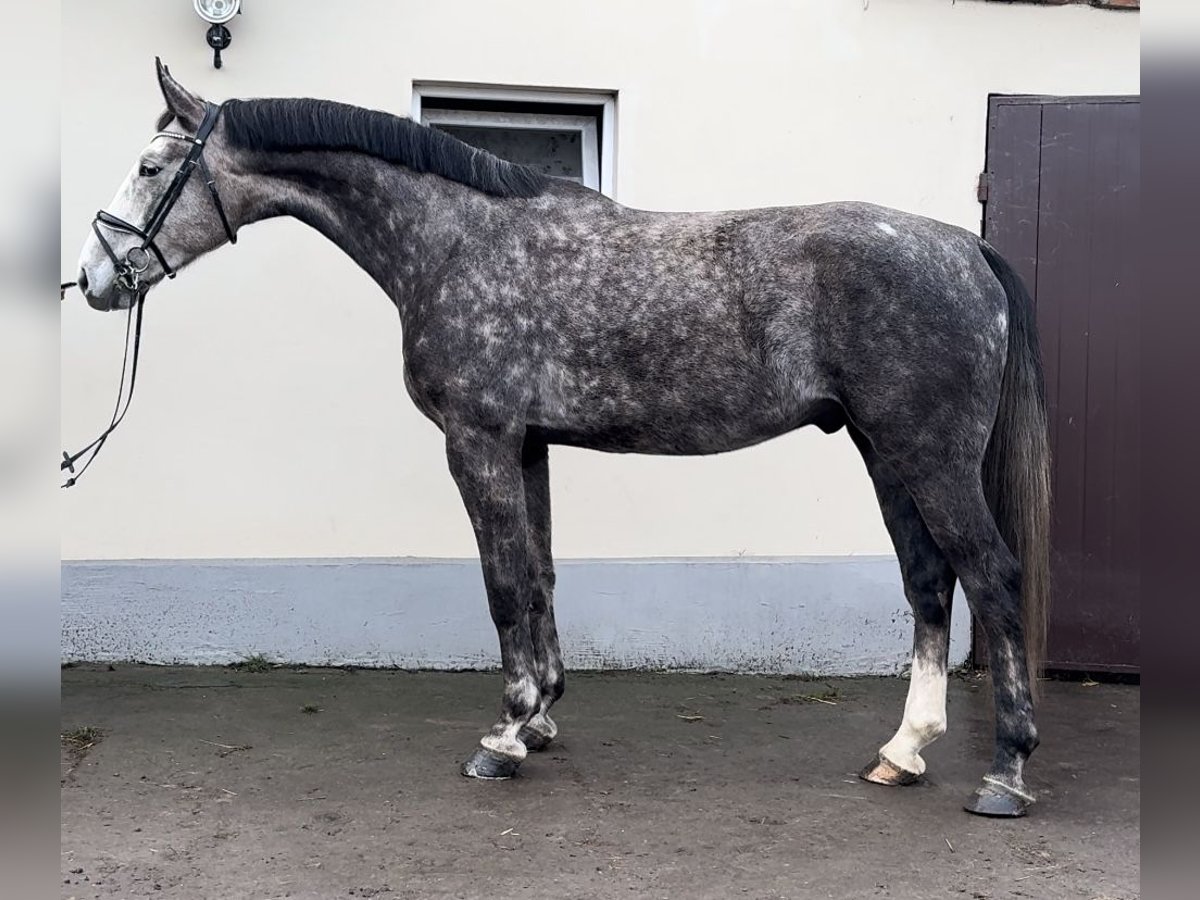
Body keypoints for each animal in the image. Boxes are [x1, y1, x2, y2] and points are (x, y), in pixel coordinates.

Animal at [77, 66, 1051, 820]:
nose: (93, 278)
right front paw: (542, 716)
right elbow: (540, 574)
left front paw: (505, 735)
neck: (457, 241)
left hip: (928, 455)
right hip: (888, 452)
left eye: (151, 166)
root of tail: (964, 247)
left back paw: (1004, 774)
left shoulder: (478, 440)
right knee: (929, 582)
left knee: (991, 577)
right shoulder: (529, 445)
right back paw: (904, 750)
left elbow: (504, 585)